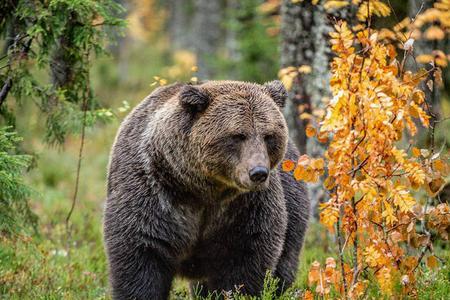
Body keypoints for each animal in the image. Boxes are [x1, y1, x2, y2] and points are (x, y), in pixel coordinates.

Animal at [104, 80, 312, 300]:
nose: (258, 173)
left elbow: (246, 260)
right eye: (238, 135)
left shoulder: (246, 207)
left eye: (268, 135)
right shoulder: (153, 191)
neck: (203, 188)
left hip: (294, 206)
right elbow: (141, 255)